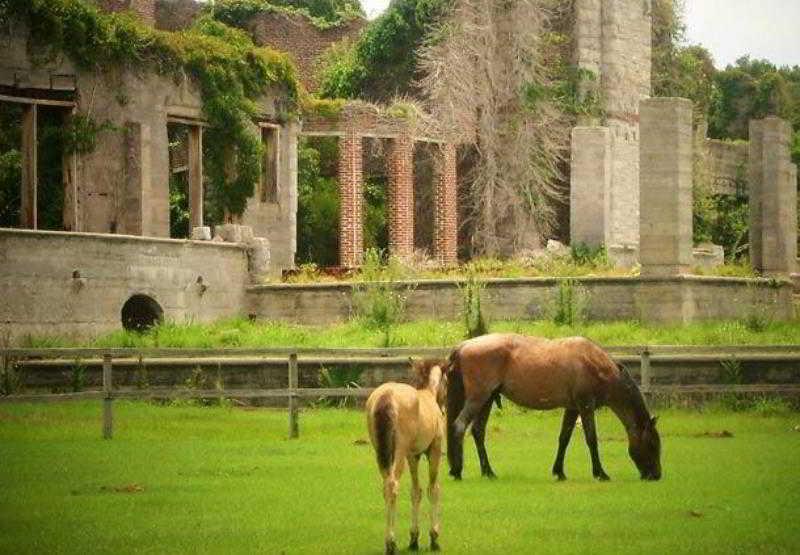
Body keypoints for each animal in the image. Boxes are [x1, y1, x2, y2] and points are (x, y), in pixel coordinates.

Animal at [444, 334, 664, 482]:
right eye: (653, 444)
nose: (656, 475)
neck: (595, 364)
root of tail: (463, 345)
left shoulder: (572, 408)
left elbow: (564, 438)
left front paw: (559, 471)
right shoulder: (586, 405)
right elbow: (591, 439)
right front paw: (600, 473)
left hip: (487, 399)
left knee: (478, 431)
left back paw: (488, 471)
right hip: (478, 398)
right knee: (459, 426)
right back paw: (458, 471)